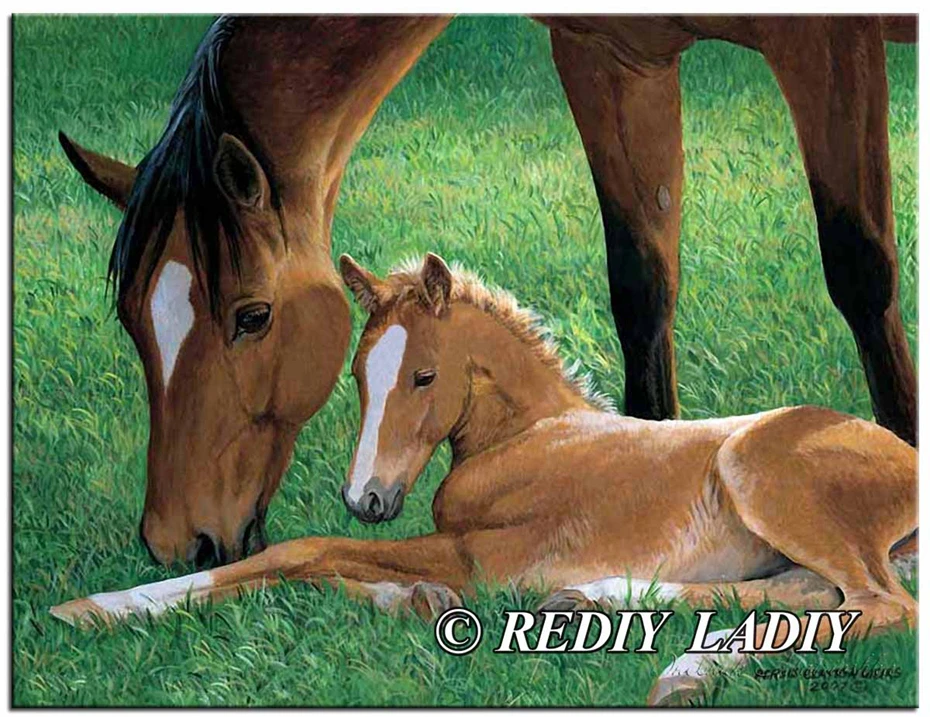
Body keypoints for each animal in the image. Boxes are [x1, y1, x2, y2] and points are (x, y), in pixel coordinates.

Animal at [50, 254, 917, 706]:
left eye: (425, 376)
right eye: (359, 375)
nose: (367, 498)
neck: (527, 438)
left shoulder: (485, 557)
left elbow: (298, 550)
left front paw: (101, 607)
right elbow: (336, 565)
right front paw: (418, 601)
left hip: (761, 476)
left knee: (880, 604)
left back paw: (649, 643)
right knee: (809, 596)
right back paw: (635, 632)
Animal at [59, 16, 917, 566]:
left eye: (253, 315)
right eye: (130, 321)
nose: (176, 541)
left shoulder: (827, 41)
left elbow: (861, 268)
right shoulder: (611, 54)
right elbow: (642, 283)